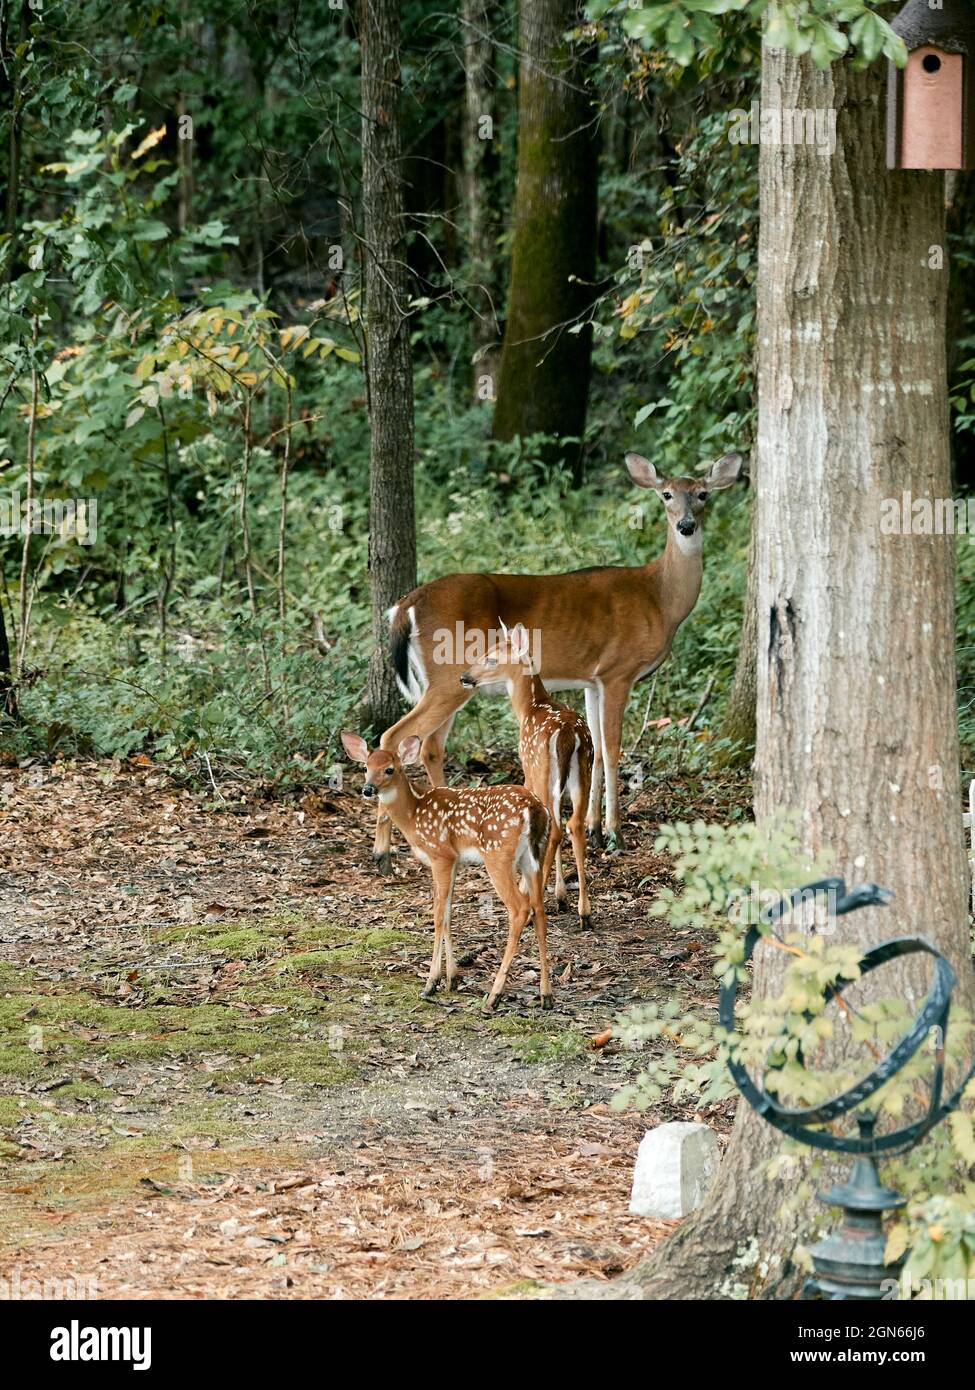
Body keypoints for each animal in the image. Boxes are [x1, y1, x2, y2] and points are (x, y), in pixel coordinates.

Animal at [372, 455, 739, 867]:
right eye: (667, 494)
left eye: (703, 494)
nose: (686, 525)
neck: (660, 598)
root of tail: (405, 605)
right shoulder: (619, 671)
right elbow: (613, 749)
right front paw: (614, 833)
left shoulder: (593, 679)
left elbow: (597, 750)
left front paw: (594, 829)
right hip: (450, 675)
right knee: (395, 735)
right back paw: (382, 850)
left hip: (447, 680)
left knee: (429, 745)